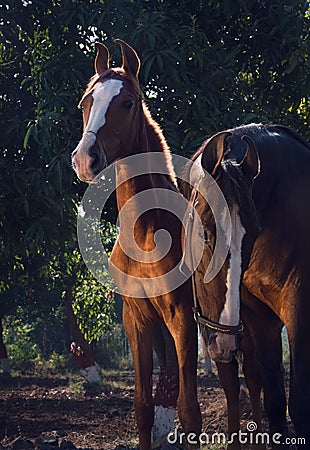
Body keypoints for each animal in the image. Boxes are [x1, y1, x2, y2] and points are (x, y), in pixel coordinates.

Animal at [71, 38, 201, 450]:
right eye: (85, 102)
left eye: (127, 102)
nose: (85, 159)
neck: (146, 233)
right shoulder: (137, 319)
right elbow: (143, 408)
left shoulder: (181, 318)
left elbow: (189, 412)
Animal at [184, 124, 310, 450]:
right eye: (204, 232)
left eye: (252, 233)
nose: (224, 341)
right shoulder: (260, 320)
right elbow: (275, 403)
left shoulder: (300, 309)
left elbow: (300, 405)